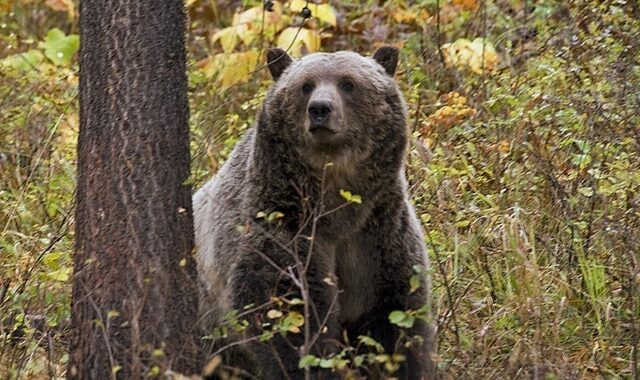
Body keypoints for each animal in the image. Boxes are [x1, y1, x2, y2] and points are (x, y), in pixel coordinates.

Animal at [195, 46, 436, 378]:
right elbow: (288, 316)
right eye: (305, 85)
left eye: (348, 83)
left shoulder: (378, 234)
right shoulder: (281, 224)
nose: (320, 109)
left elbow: (394, 319)